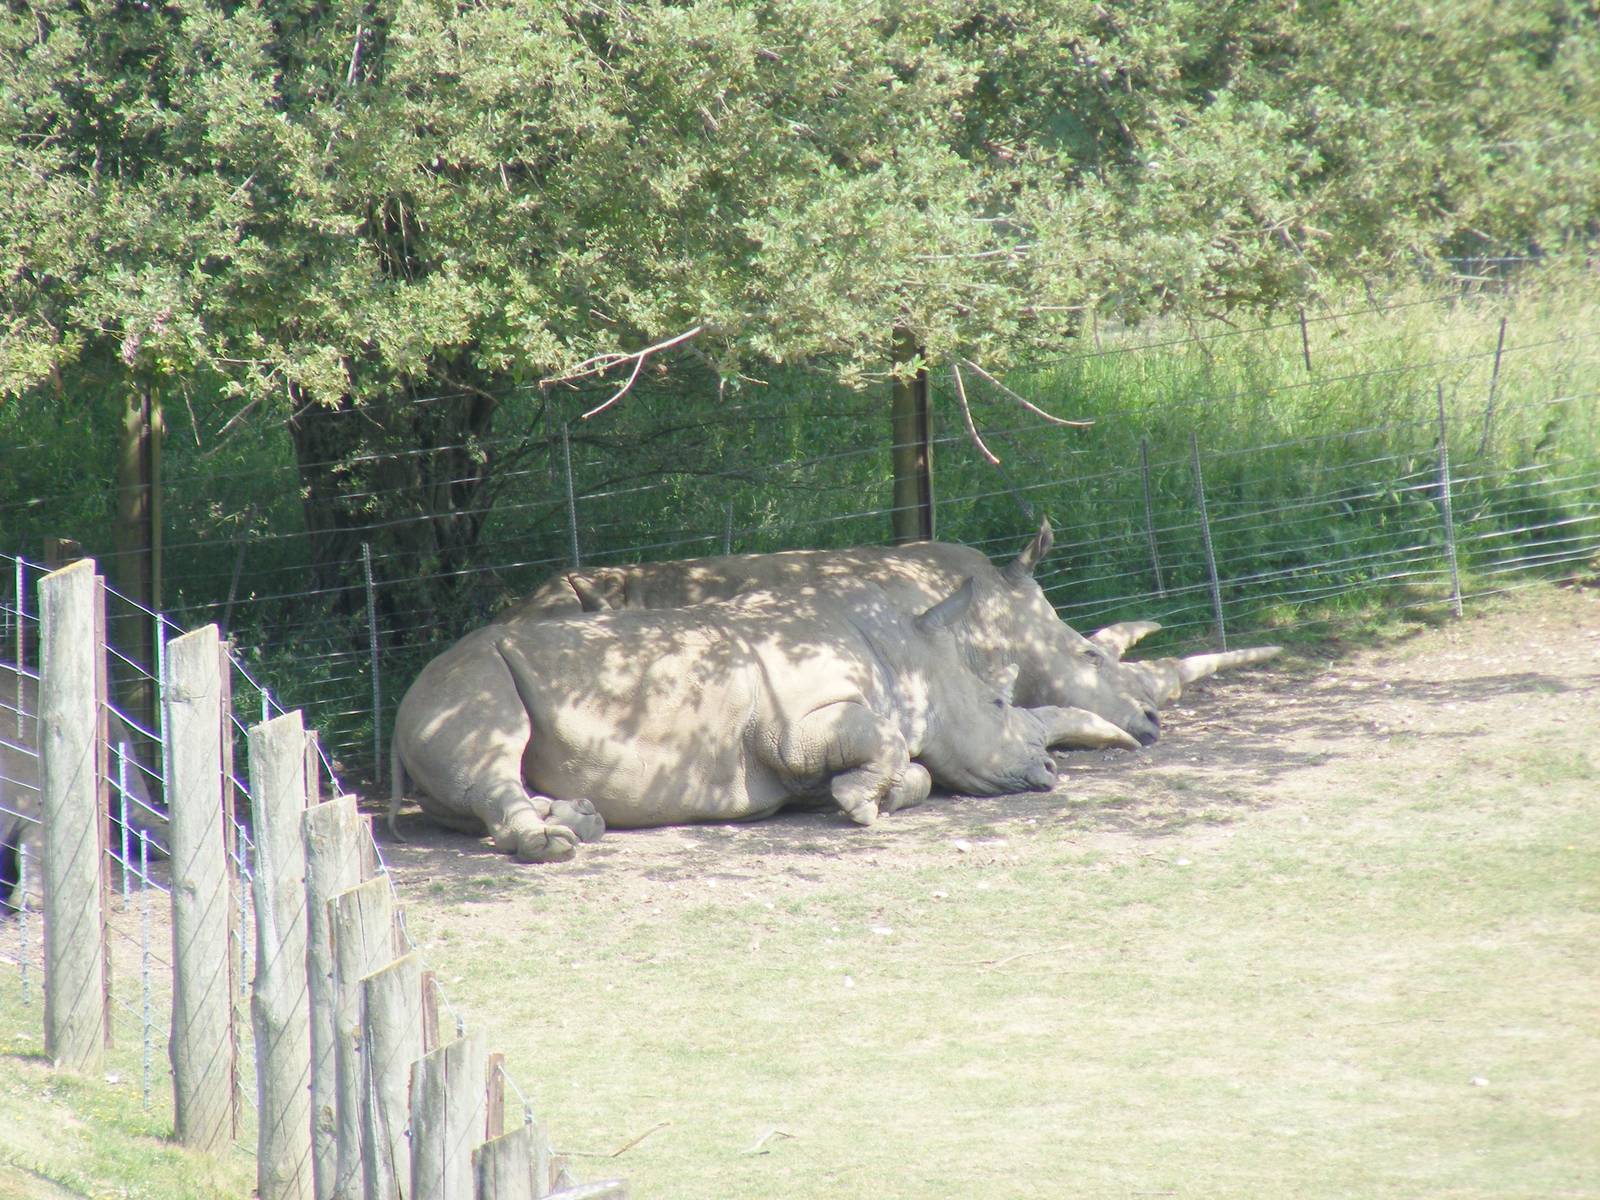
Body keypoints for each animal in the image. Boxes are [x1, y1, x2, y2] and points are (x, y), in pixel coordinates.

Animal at [390, 578, 1124, 862]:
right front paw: (861, 804)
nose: (1051, 767)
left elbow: (912, 771)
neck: (907, 657)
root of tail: (398, 711)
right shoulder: (793, 727)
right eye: (999, 705)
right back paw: (554, 848)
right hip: (473, 674)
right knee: (492, 746)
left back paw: (581, 822)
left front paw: (861, 798)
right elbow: (886, 744)